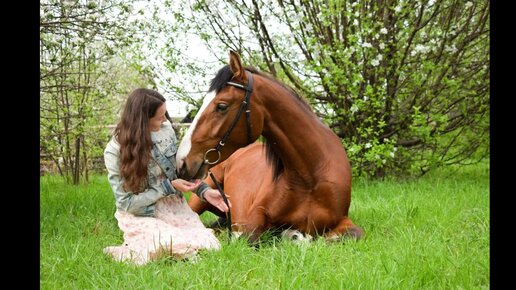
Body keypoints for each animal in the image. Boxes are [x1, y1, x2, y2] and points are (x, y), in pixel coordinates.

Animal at [177, 50, 362, 242]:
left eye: (221, 106)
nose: (182, 161)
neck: (310, 177)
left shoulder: (341, 220)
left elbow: (353, 233)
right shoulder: (257, 214)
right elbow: (250, 236)